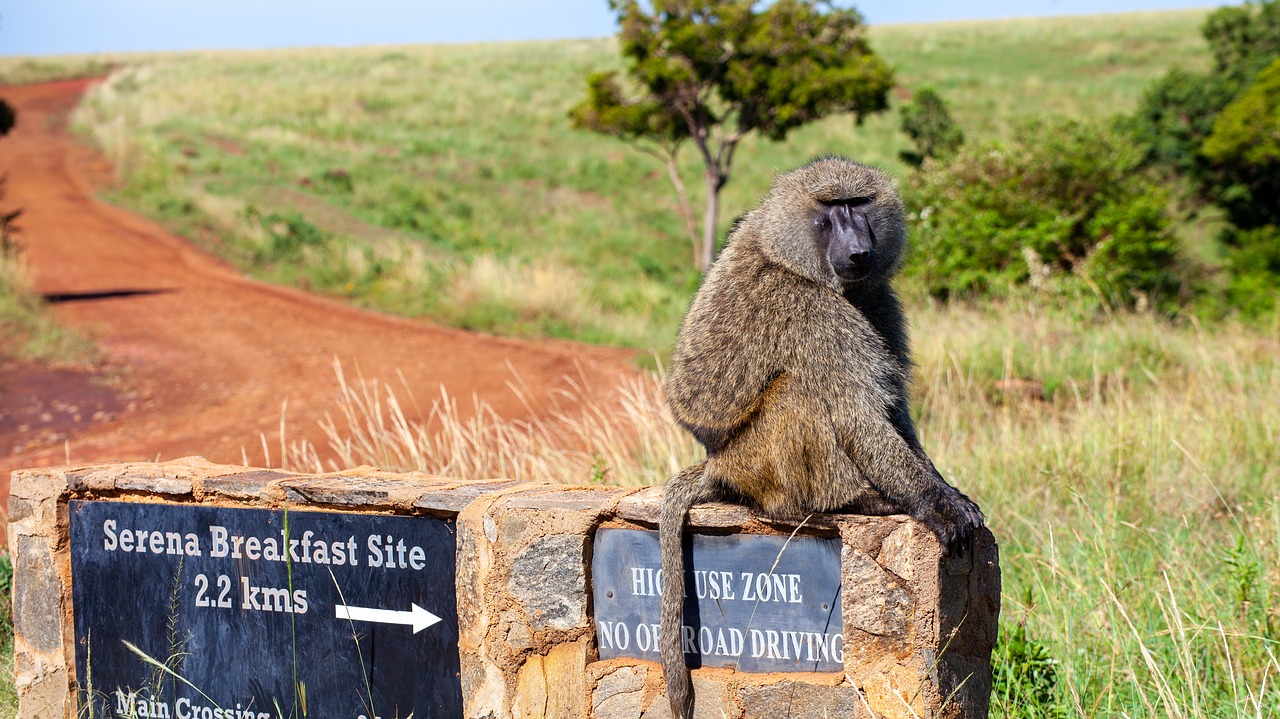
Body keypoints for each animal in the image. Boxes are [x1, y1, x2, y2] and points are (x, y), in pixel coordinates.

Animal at [660, 154, 977, 711]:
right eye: (832, 210)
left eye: (859, 204)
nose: (858, 250)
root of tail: (718, 464)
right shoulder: (809, 309)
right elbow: (858, 414)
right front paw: (935, 505)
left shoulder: (877, 294)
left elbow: (895, 410)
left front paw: (948, 491)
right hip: (754, 461)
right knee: (798, 392)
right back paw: (845, 502)